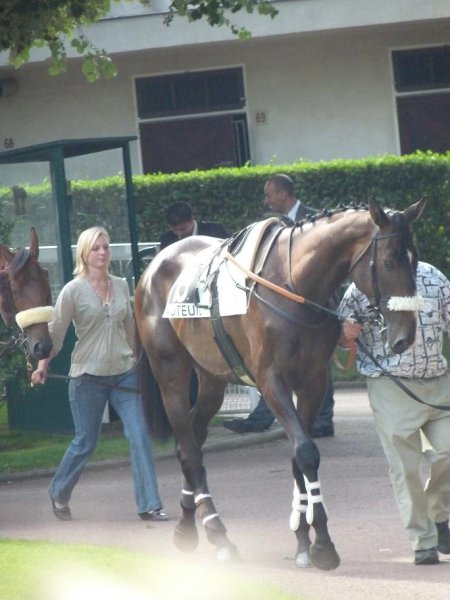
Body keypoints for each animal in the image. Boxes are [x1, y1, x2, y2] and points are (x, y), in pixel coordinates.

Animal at [134, 199, 426, 568]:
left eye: (414, 260)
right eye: (388, 261)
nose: (406, 337)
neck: (294, 285)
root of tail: (152, 267)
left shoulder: (313, 381)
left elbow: (298, 456)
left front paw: (303, 539)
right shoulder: (271, 381)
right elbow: (306, 452)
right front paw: (323, 544)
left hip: (212, 377)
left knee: (193, 441)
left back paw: (187, 525)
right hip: (170, 372)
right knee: (187, 449)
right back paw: (218, 534)